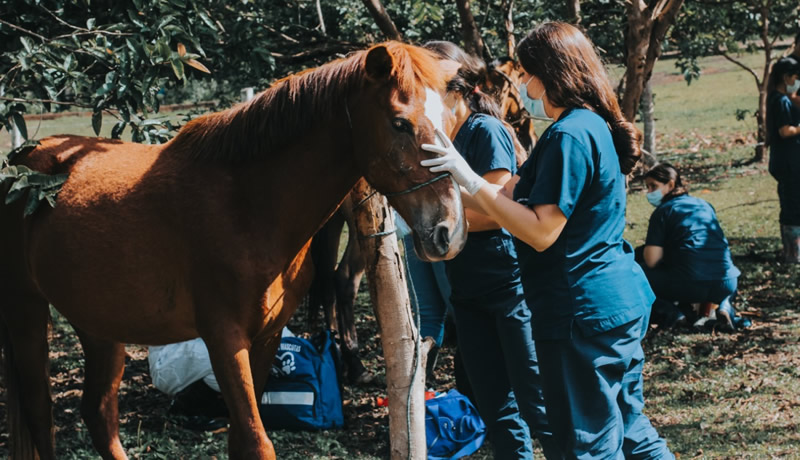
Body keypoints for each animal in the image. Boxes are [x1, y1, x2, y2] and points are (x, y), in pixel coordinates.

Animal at [0, 41, 466, 458]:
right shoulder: (224, 339)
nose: (449, 231)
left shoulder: (266, 336)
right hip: (26, 310)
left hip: (99, 323)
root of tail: (20, 164)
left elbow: (241, 441)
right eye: (400, 123)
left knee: (98, 414)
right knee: (41, 414)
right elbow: (258, 444)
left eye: (451, 120)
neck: (246, 205)